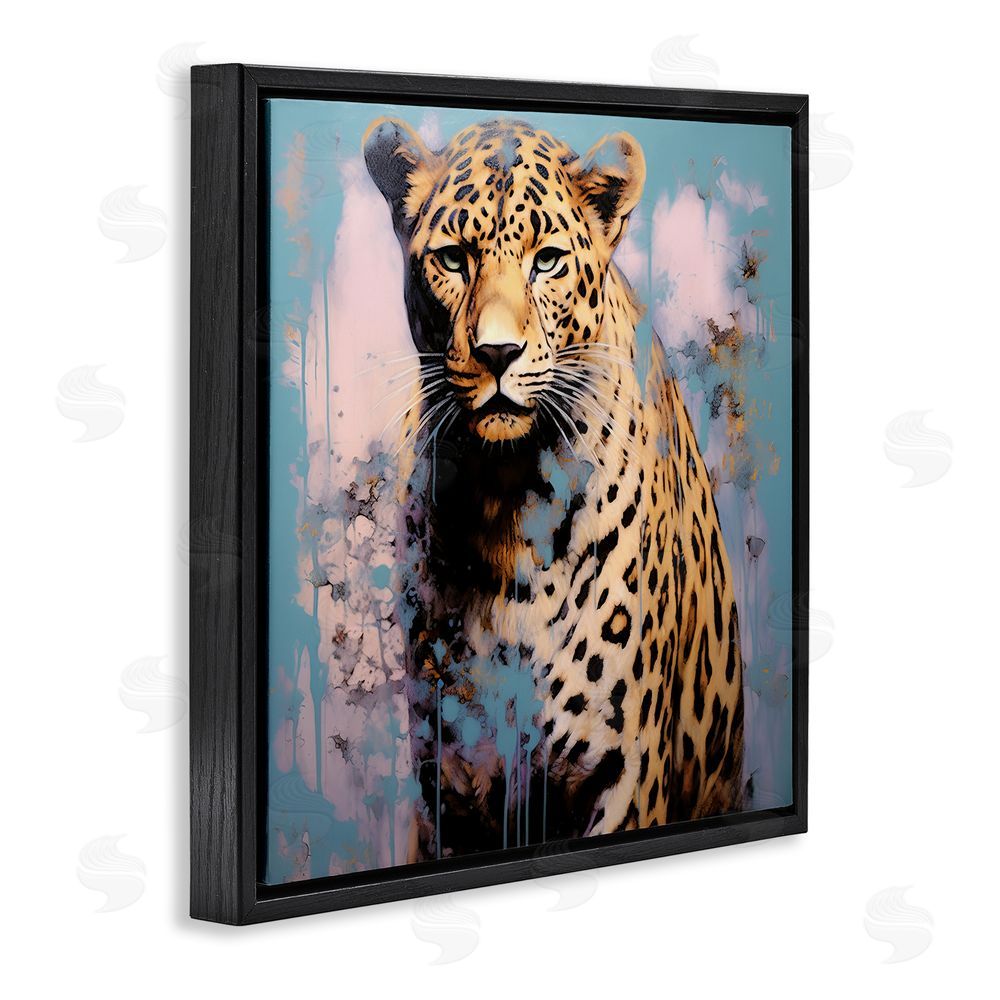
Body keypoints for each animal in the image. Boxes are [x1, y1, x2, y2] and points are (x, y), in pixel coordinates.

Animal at [363, 115, 745, 862]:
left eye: (547, 261)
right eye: (452, 259)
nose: (497, 354)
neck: (503, 499)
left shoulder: (618, 773)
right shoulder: (448, 786)